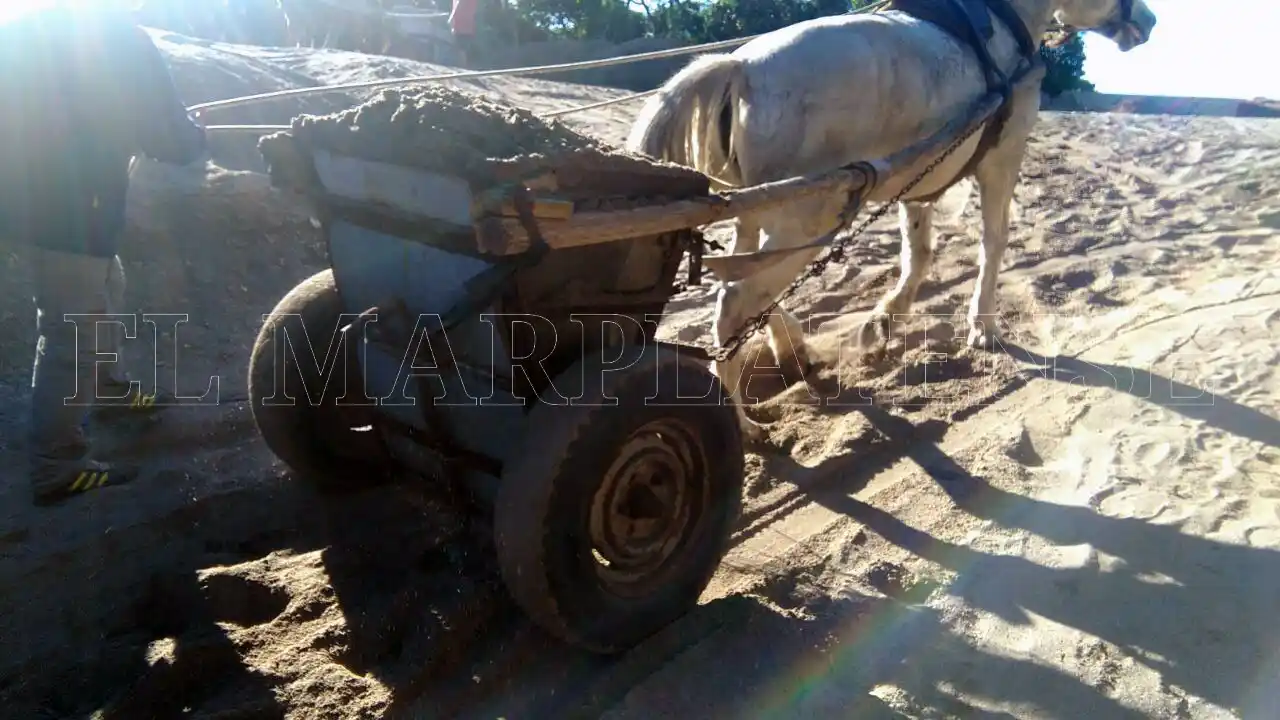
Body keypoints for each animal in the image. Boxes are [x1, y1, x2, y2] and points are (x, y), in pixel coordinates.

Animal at [626, 0, 1157, 442]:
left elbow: (917, 254)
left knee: (746, 287)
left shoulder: (920, 180)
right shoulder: (1001, 161)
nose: (1149, 21)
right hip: (807, 220)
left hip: (759, 216)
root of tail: (739, 68)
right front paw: (982, 325)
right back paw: (743, 423)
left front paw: (884, 319)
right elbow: (993, 241)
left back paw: (792, 351)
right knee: (735, 303)